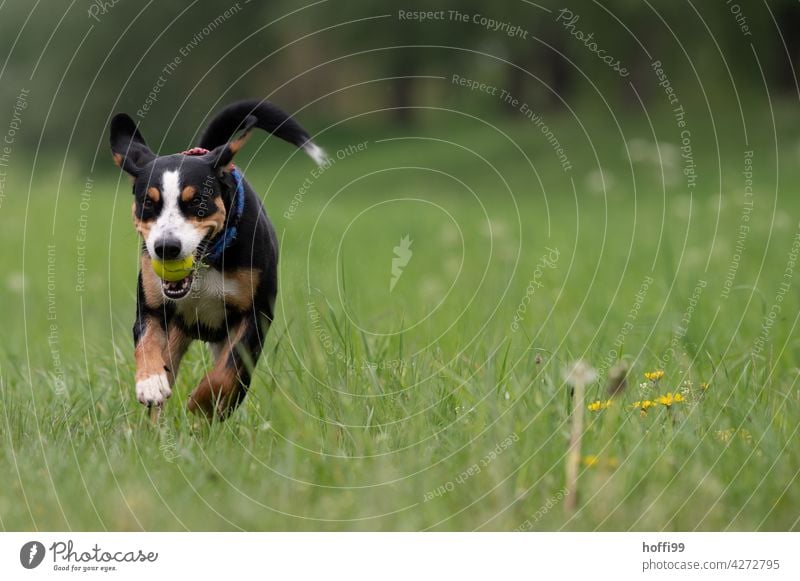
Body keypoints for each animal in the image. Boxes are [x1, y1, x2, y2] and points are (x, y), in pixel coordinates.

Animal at [109, 98, 324, 416]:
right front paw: (150, 382)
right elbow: (146, 343)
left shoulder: (255, 315)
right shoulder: (151, 307)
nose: (166, 247)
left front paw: (201, 403)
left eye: (197, 201)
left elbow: (226, 373)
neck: (207, 263)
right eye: (148, 203)